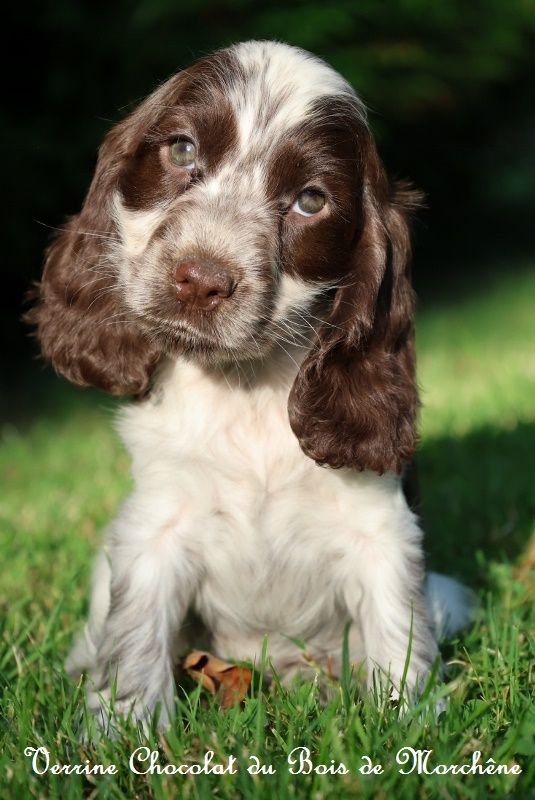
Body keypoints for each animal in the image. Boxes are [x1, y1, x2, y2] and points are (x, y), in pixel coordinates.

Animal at [30, 40, 474, 728]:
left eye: (311, 201)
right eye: (181, 150)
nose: (200, 280)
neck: (246, 384)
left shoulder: (382, 531)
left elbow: (397, 638)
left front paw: (408, 731)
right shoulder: (154, 525)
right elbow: (134, 637)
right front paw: (124, 732)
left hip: (445, 595)